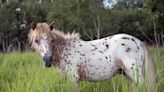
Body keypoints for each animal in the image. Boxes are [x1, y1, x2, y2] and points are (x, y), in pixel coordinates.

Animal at [27, 22, 156, 90]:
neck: (64, 50)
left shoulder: (74, 79)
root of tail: (139, 42)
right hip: (128, 75)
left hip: (135, 73)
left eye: (52, 40)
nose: (48, 60)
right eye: (36, 40)